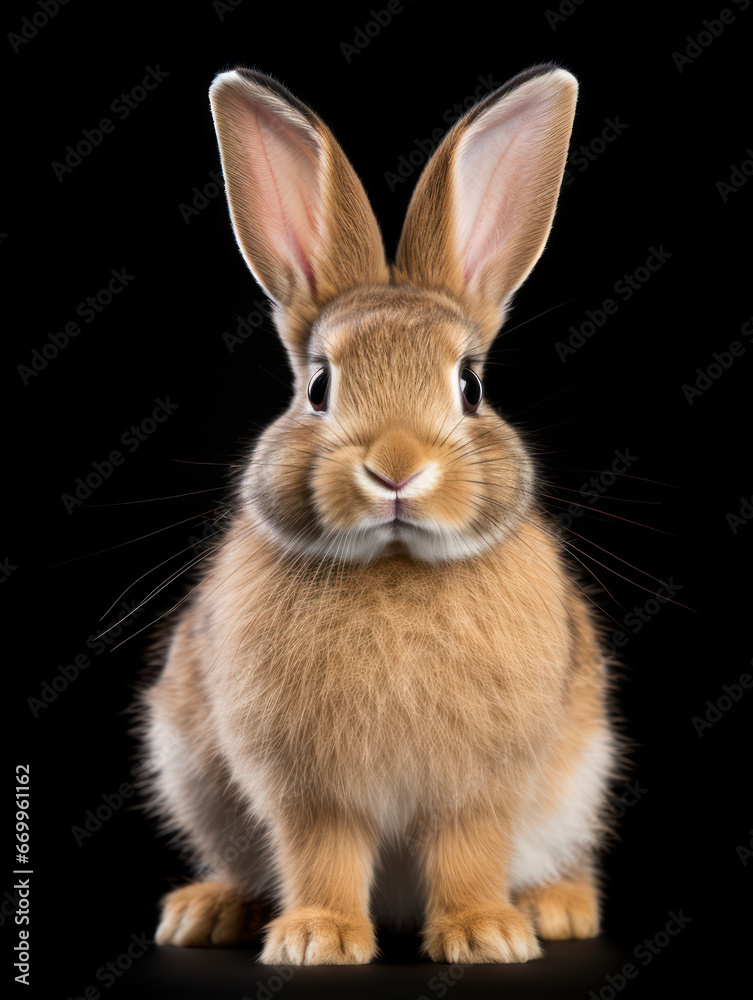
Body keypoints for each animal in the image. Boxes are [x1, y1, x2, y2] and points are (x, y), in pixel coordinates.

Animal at [138, 62, 621, 966]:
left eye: (470, 385)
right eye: (319, 387)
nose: (396, 469)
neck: (393, 566)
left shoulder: (480, 785)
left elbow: (468, 849)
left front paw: (483, 935)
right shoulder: (306, 790)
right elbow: (321, 851)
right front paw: (317, 939)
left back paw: (558, 909)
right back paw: (205, 914)